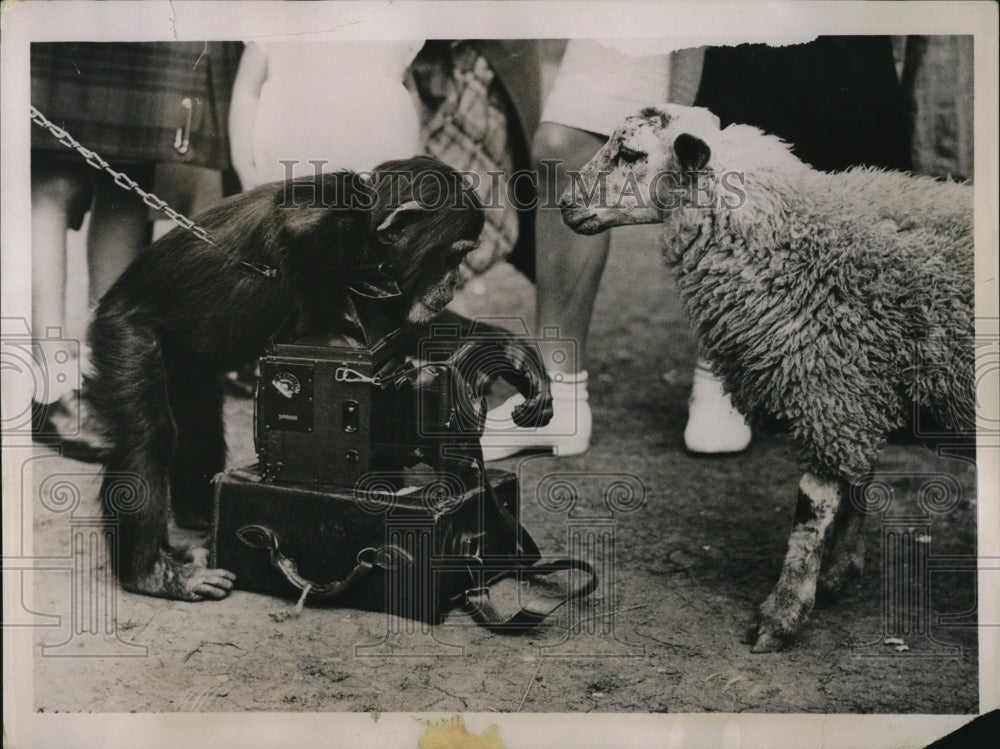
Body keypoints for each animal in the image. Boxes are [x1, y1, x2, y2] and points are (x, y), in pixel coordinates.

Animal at [87, 155, 552, 600]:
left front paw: (508, 353)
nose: (454, 281)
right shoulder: (328, 218)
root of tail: (108, 300)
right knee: (149, 434)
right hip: (127, 331)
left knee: (198, 413)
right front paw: (335, 327)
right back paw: (154, 572)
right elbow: (298, 224)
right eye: (453, 255)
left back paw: (203, 511)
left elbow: (409, 329)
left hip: (186, 357)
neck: (369, 251)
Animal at [564, 102, 976, 652]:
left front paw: (782, 615)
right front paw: (838, 573)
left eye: (631, 153)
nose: (565, 206)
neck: (796, 240)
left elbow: (812, 512)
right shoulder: (856, 390)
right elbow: (857, 484)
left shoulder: (829, 391)